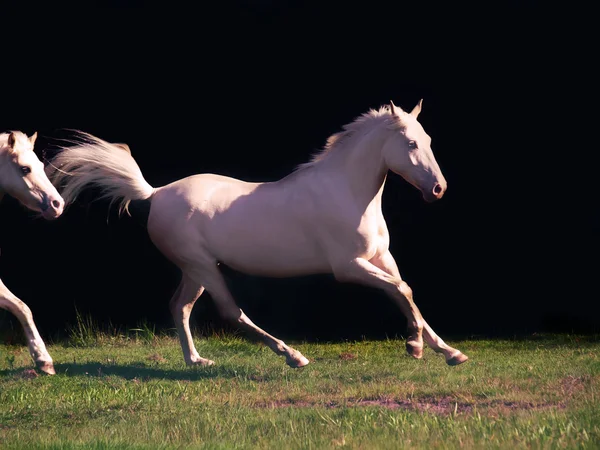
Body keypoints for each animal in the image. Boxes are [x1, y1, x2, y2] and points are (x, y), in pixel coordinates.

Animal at [47, 102, 468, 370]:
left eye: (428, 140)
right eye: (411, 143)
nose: (438, 189)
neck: (347, 192)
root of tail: (156, 193)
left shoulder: (381, 259)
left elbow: (405, 293)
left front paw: (448, 352)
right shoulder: (349, 267)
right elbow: (403, 291)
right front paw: (414, 347)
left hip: (194, 270)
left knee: (179, 307)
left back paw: (196, 360)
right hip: (203, 267)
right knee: (230, 312)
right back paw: (293, 356)